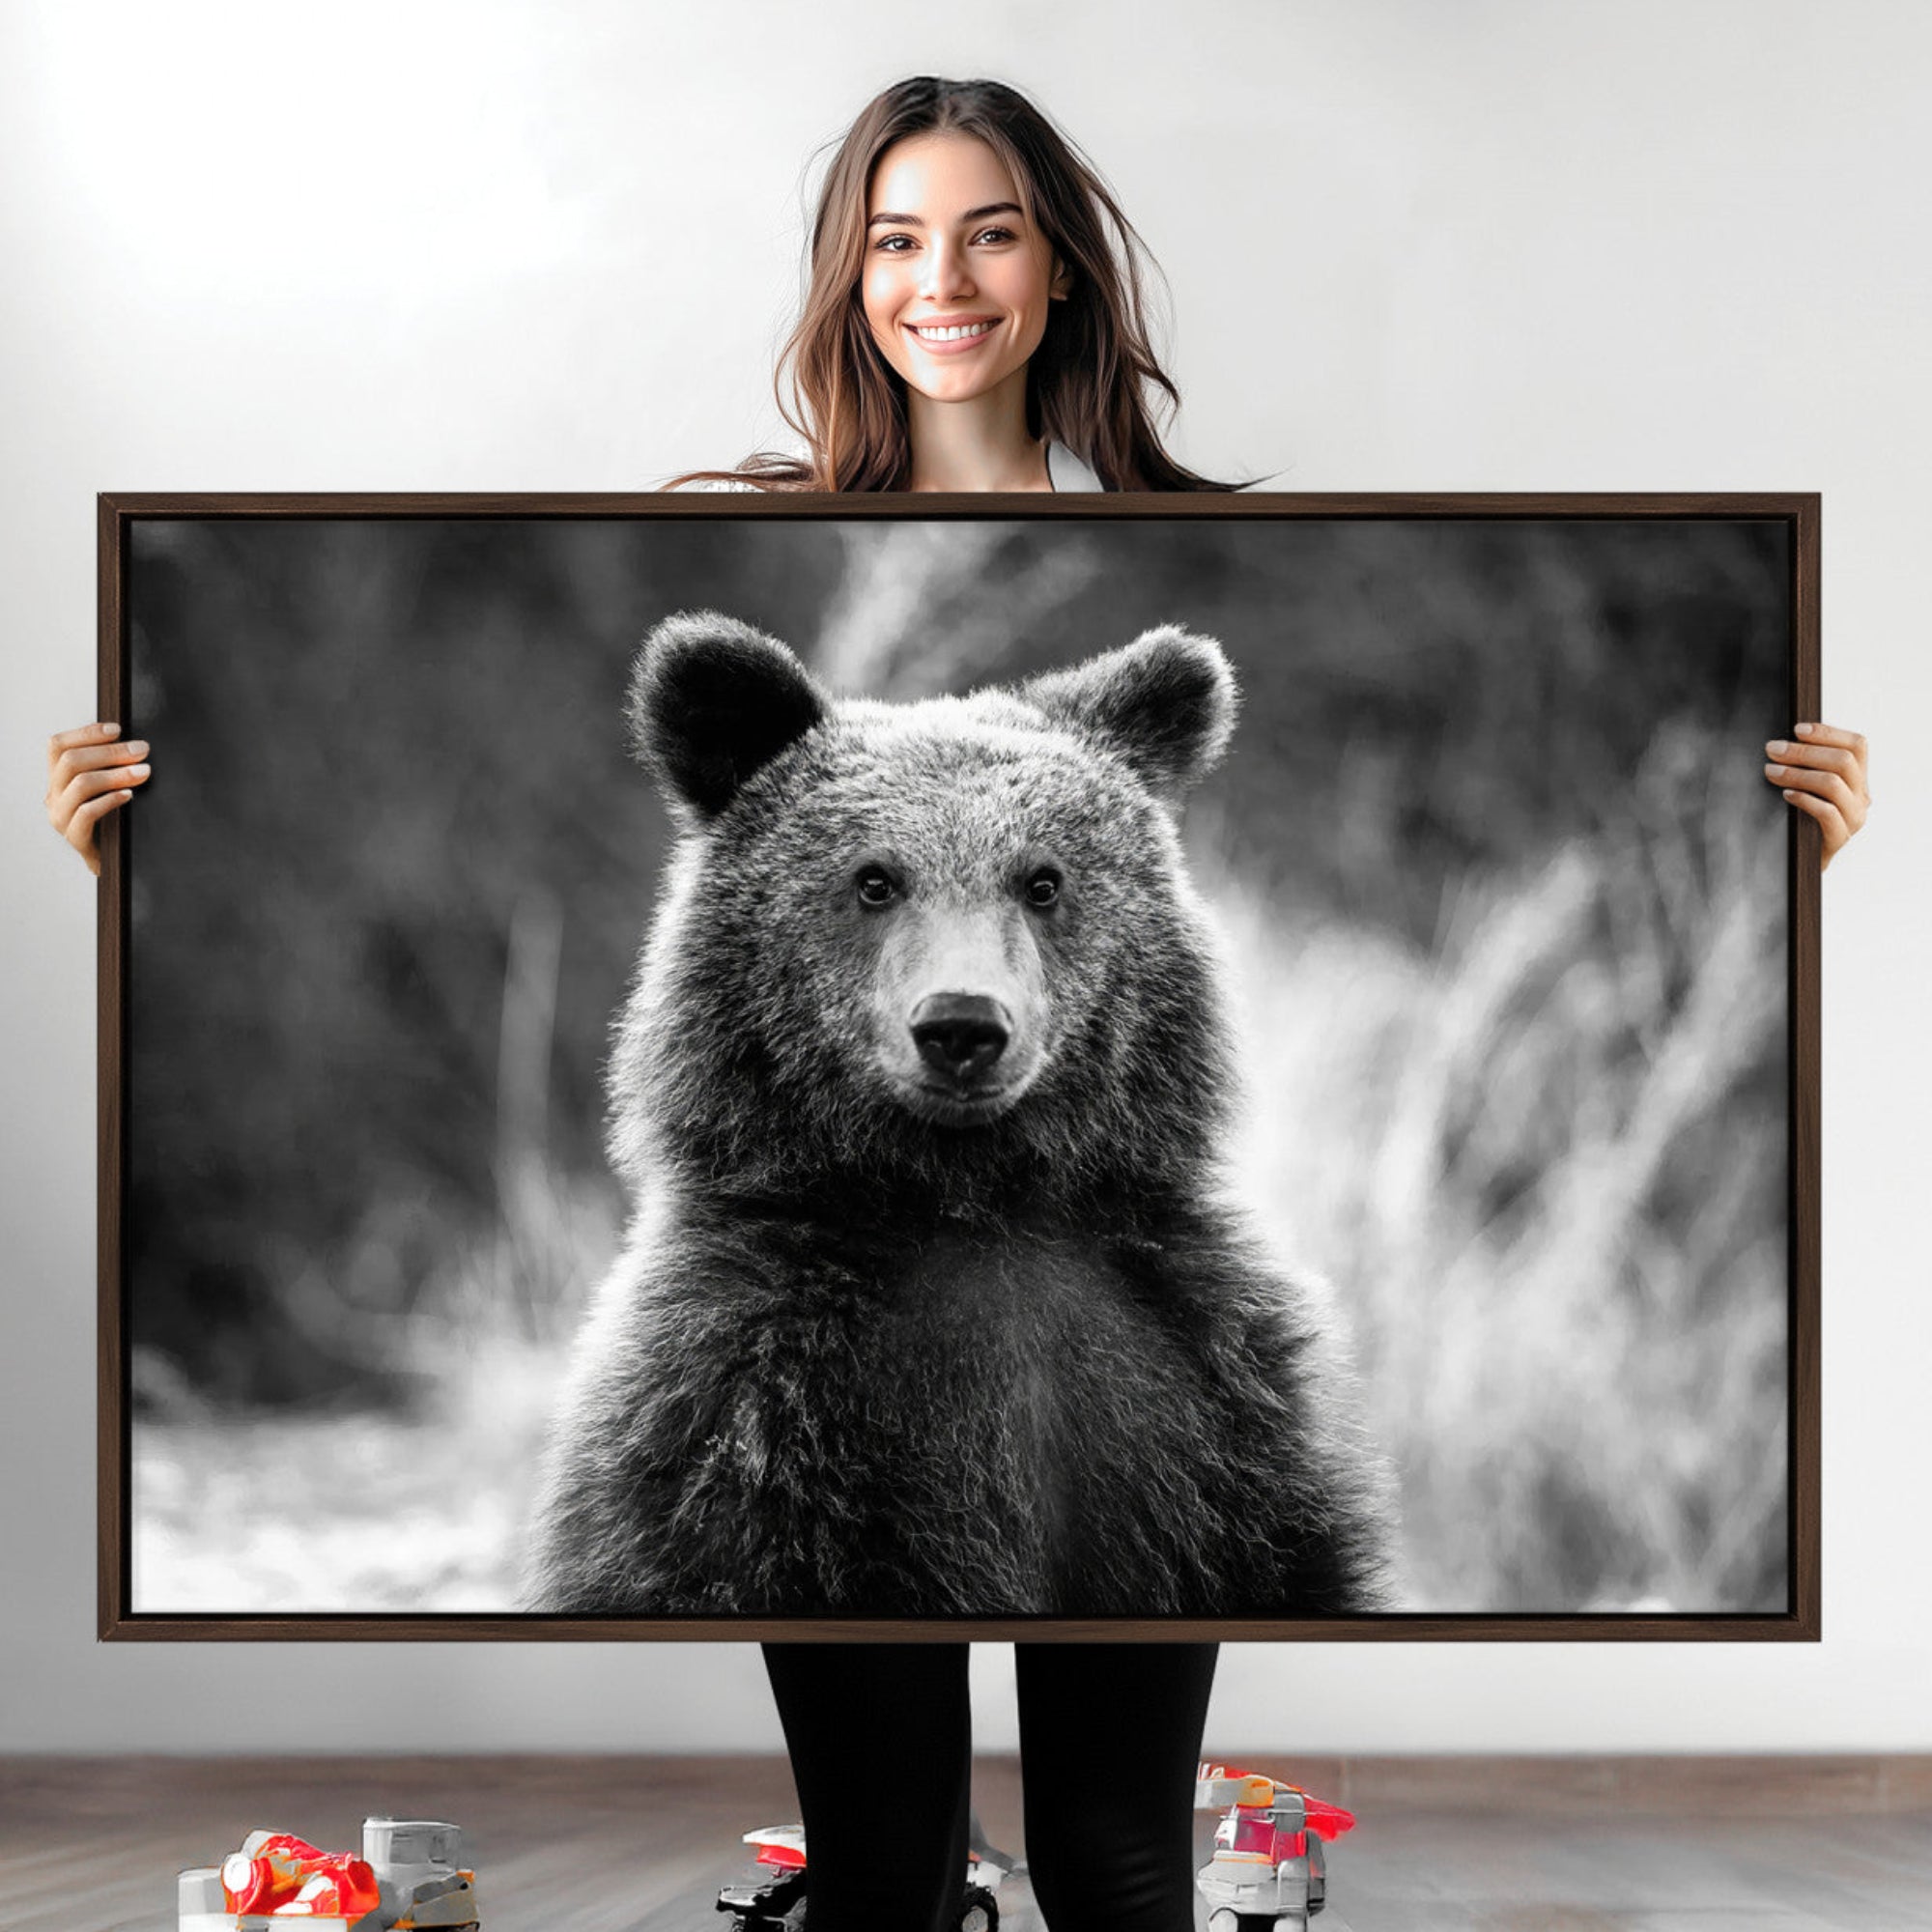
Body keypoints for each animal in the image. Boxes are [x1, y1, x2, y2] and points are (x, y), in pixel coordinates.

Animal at [524, 610, 1393, 1618]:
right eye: (874, 879)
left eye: (1043, 880)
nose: (962, 1025)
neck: (971, 1201)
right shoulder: (740, 1408)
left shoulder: (1211, 1392)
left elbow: (1285, 1557)